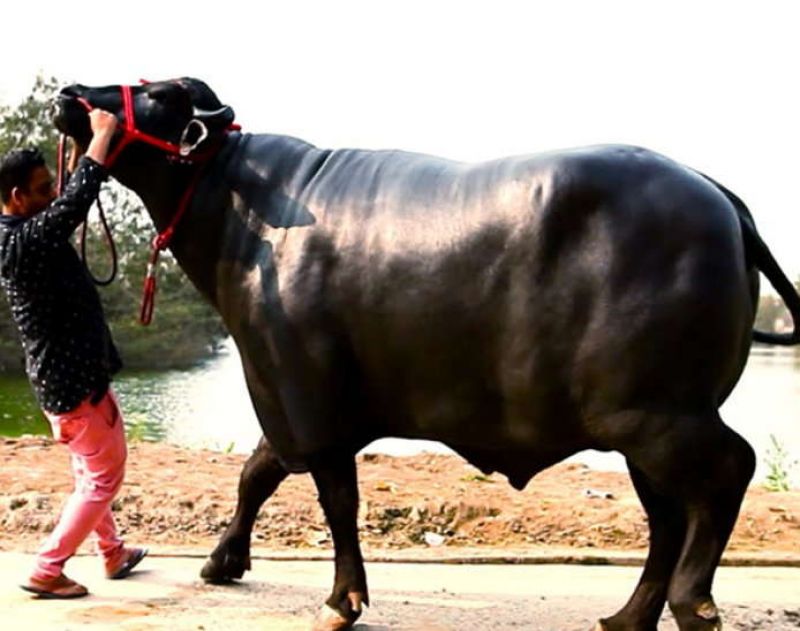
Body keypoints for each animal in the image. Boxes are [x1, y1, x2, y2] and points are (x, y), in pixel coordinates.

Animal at [54, 77, 799, 631]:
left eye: (157, 92)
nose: (70, 92)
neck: (250, 214)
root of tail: (721, 199)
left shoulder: (302, 395)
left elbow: (332, 498)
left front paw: (340, 600)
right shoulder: (286, 401)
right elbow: (257, 473)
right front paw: (221, 562)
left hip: (659, 412)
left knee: (729, 470)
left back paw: (694, 602)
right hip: (642, 422)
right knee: (667, 514)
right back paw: (628, 615)